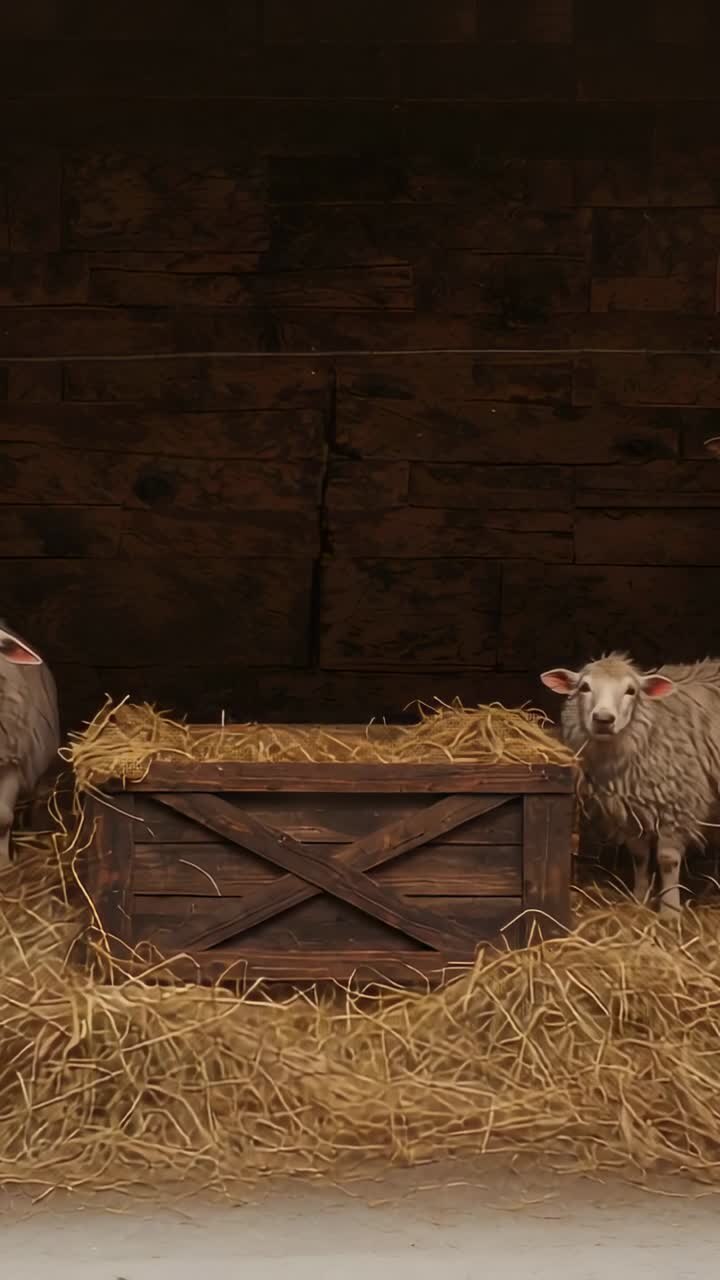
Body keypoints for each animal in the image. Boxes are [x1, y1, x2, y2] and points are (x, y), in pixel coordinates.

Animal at [540, 653, 720, 914]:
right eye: (584, 687)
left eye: (631, 691)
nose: (603, 719)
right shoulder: (628, 808)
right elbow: (639, 855)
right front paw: (638, 900)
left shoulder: (676, 805)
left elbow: (667, 860)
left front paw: (670, 911)